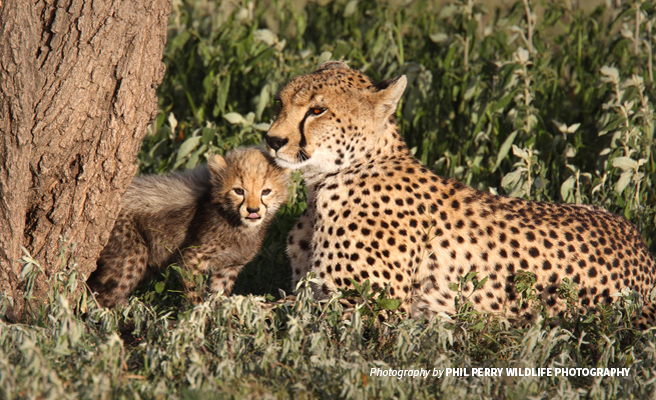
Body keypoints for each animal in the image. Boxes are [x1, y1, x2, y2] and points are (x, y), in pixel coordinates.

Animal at [264, 62, 656, 324]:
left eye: (318, 110)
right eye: (280, 103)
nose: (272, 140)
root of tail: (639, 244)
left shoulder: (367, 308)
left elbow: (263, 311)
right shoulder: (310, 291)